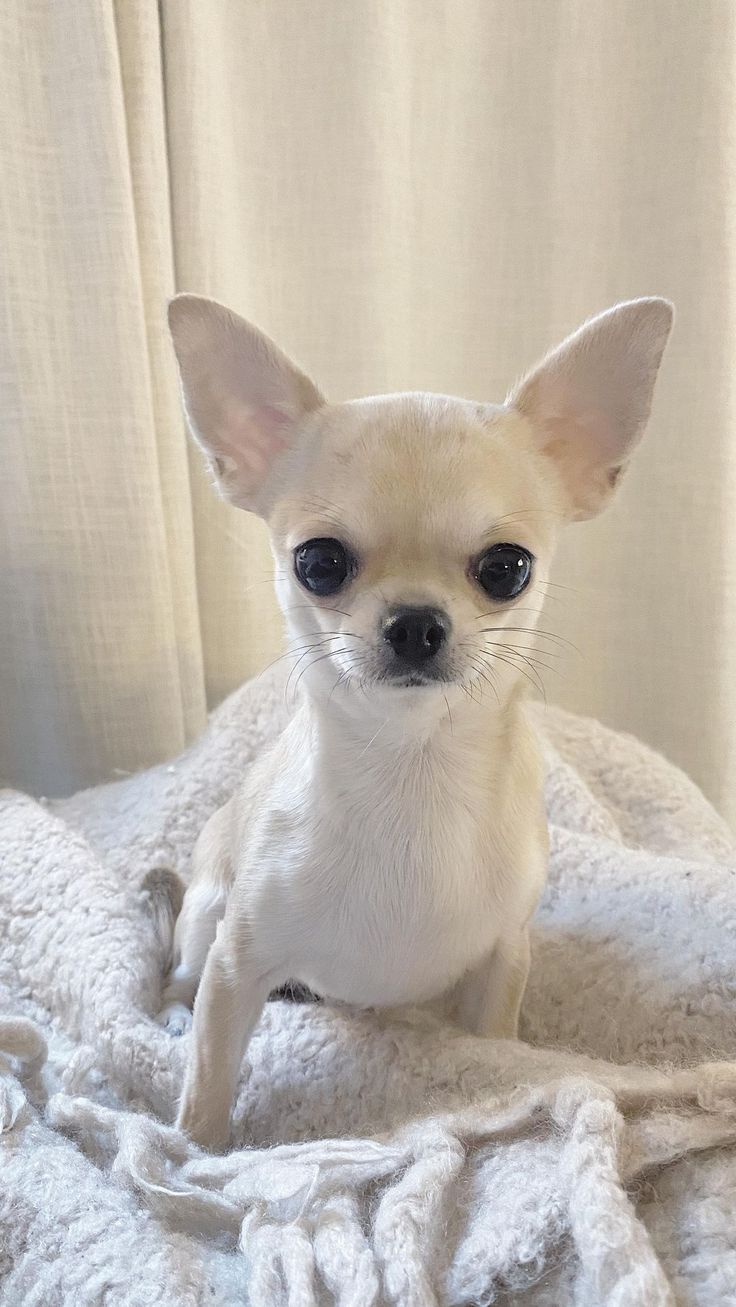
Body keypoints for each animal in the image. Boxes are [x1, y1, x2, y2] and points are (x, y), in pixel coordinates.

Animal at [161, 294, 674, 1144]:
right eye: (319, 563)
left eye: (507, 567)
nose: (414, 622)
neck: (413, 770)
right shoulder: (237, 962)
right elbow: (209, 1074)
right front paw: (195, 1153)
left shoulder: (501, 960)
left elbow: (495, 1045)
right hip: (205, 910)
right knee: (180, 970)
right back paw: (170, 1011)